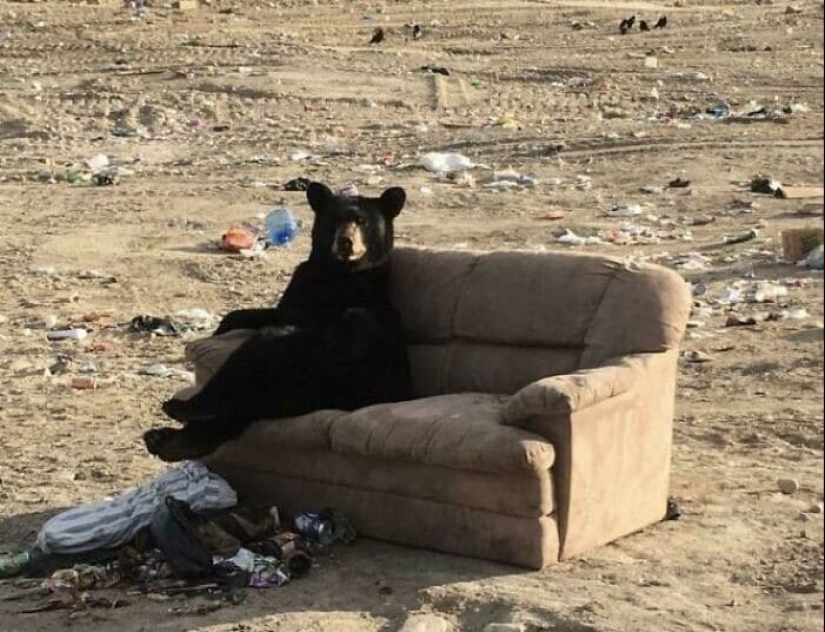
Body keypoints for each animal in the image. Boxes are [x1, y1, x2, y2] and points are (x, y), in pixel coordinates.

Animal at [143, 182, 413, 462]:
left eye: (363, 222)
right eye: (335, 219)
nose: (345, 242)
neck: (337, 273)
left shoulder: (351, 297)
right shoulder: (298, 289)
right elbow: (257, 315)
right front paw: (222, 327)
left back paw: (184, 412)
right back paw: (168, 439)